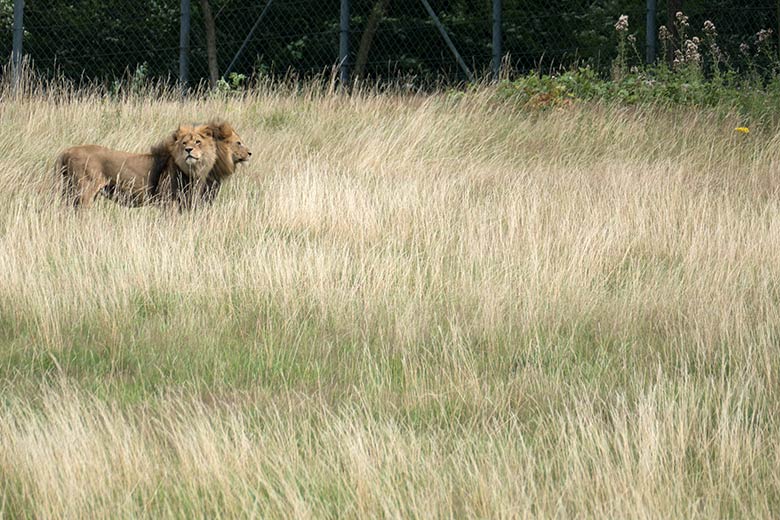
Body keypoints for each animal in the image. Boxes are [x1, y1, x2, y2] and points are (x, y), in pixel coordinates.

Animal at [57, 124, 216, 209]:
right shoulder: (167, 200)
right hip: (84, 192)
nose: (188, 150)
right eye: (184, 143)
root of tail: (67, 151)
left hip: (70, 191)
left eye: (198, 142)